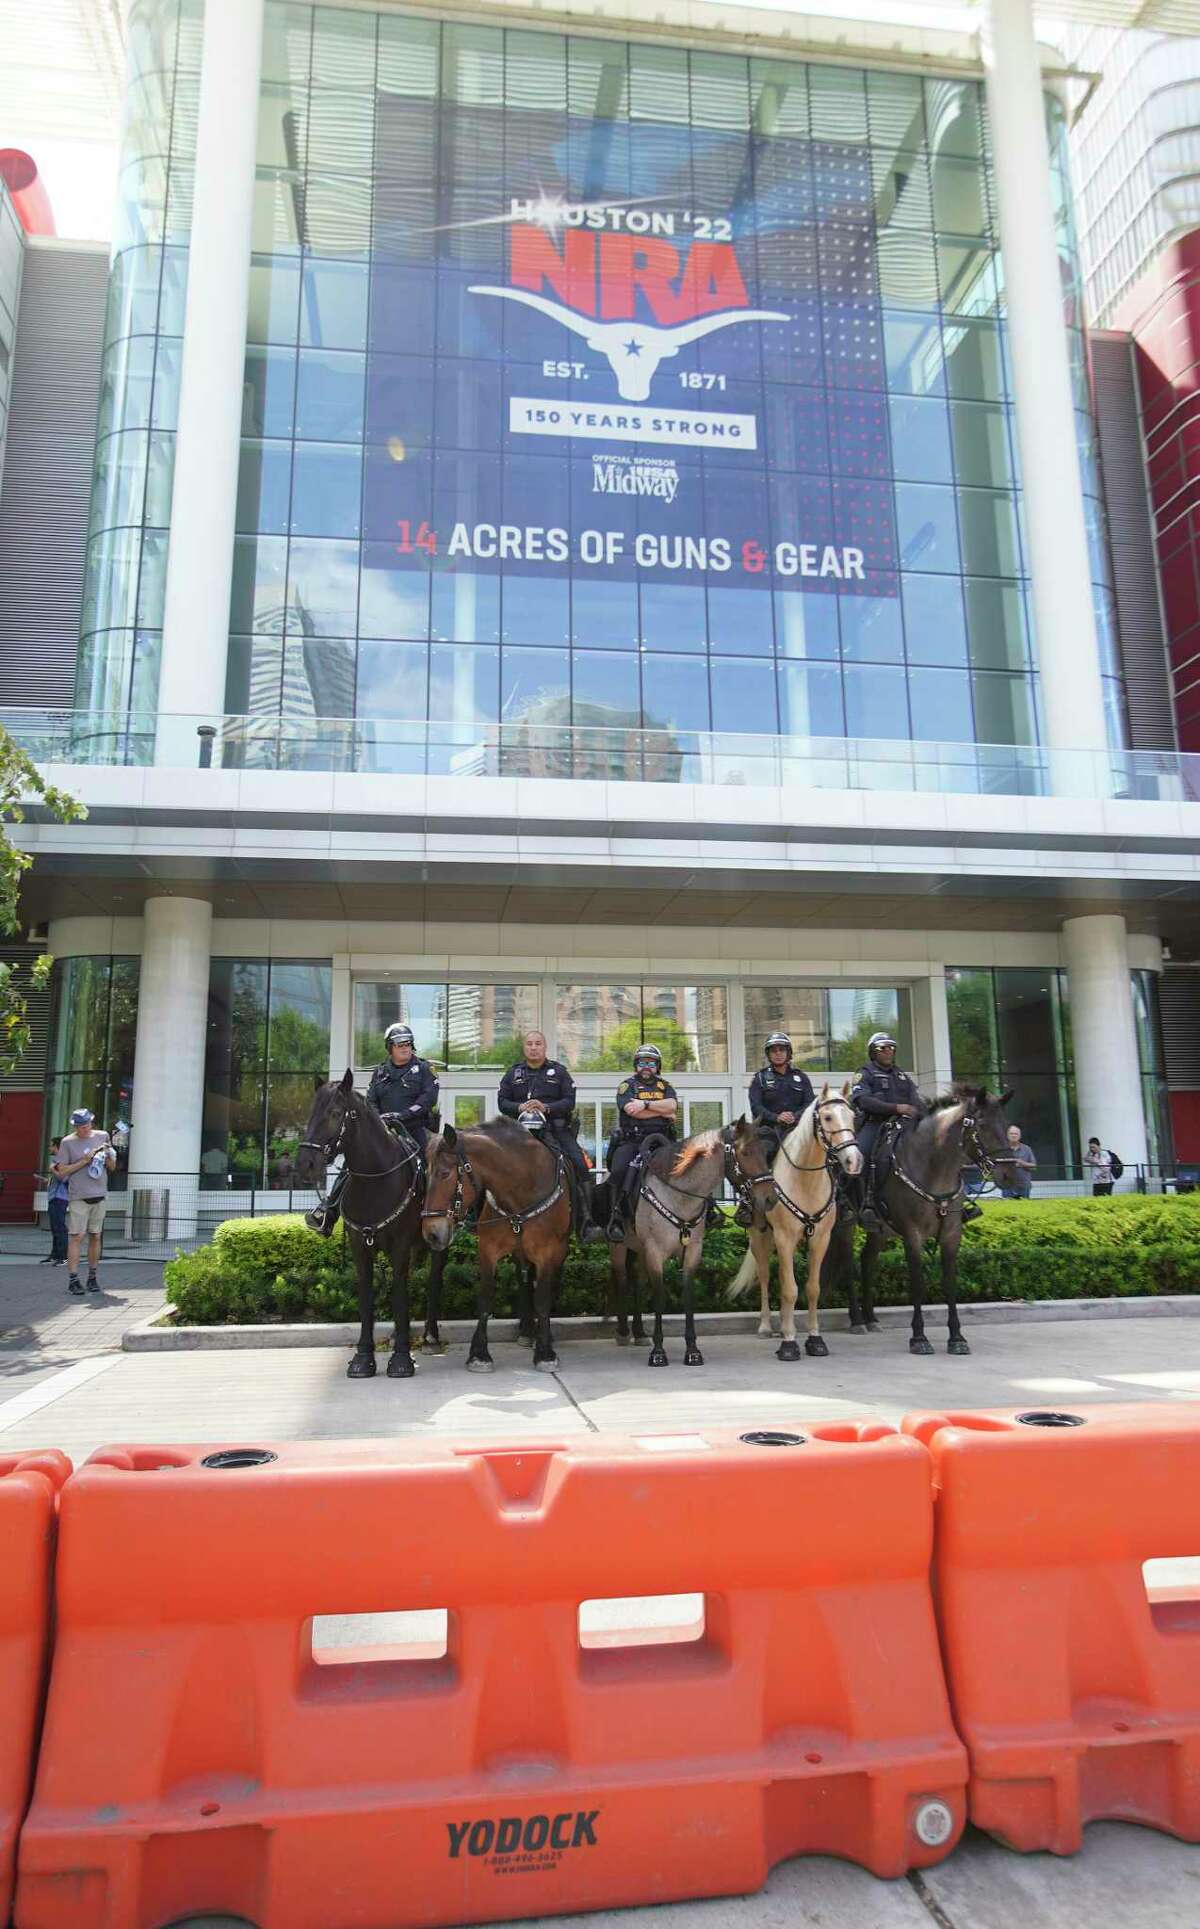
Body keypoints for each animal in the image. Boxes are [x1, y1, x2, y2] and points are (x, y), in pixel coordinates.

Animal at [297, 1080, 451, 1381]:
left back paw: (430, 1337)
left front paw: (401, 1359)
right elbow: (367, 1295)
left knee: (434, 1281)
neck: (375, 1182)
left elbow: (400, 1292)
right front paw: (363, 1356)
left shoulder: (400, 1245)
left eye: (335, 1113)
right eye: (311, 1112)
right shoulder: (360, 1246)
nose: (305, 1163)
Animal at [422, 1118, 574, 1373]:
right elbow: (485, 1297)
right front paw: (479, 1354)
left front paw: (545, 1353)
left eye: (444, 1173)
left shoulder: (548, 1252)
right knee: (524, 1279)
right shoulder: (488, 1250)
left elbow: (543, 1299)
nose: (431, 1233)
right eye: (426, 1174)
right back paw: (527, 1331)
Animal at [605, 1118, 775, 1373]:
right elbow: (659, 1297)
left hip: (640, 1250)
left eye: (765, 1152)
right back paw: (624, 1332)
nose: (770, 1198)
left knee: (638, 1283)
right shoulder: (655, 1252)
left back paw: (639, 1332)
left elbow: (687, 1296)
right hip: (619, 1247)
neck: (680, 1196)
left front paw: (692, 1350)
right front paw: (658, 1352)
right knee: (623, 1280)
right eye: (745, 1152)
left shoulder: (692, 1252)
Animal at [725, 1087, 864, 1358]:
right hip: (760, 1236)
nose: (853, 1160)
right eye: (828, 1117)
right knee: (766, 1276)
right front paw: (789, 1342)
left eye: (852, 1116)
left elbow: (812, 1288)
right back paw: (767, 1326)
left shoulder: (820, 1239)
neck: (805, 1180)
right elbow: (789, 1289)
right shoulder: (784, 1237)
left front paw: (814, 1338)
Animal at [825, 1087, 1018, 1358]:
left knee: (868, 1261)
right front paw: (919, 1337)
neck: (934, 1169)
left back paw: (871, 1318)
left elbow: (949, 1282)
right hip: (846, 1223)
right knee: (848, 1263)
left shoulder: (951, 1235)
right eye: (981, 1125)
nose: (1010, 1175)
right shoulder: (912, 1234)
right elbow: (917, 1282)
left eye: (1006, 1124)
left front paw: (957, 1337)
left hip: (880, 1229)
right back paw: (857, 1320)